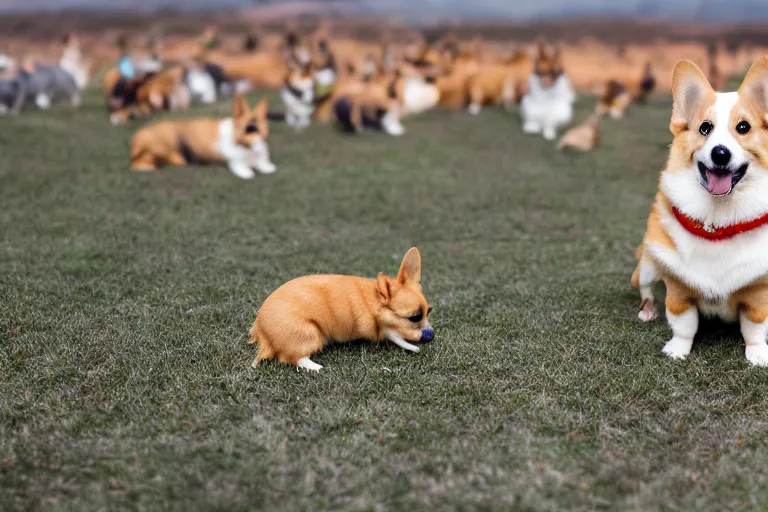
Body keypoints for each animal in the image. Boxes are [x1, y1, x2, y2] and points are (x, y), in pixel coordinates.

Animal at [130, 95, 278, 179]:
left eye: (264, 130)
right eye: (249, 129)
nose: (260, 148)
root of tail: (138, 135)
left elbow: (264, 164)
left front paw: (269, 168)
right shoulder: (235, 159)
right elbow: (240, 166)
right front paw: (247, 174)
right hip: (160, 148)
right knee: (136, 163)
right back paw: (147, 167)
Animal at [250, 246, 436, 370]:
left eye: (429, 311)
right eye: (414, 317)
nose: (432, 335)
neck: (376, 299)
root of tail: (261, 332)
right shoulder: (385, 329)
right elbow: (397, 337)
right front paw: (412, 347)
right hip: (310, 334)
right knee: (293, 358)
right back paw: (316, 367)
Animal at [632, 59, 768, 364]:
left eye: (744, 127)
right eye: (705, 128)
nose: (720, 153)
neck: (719, 218)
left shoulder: (758, 293)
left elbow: (754, 327)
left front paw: (757, 355)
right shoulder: (679, 291)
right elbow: (684, 324)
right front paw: (678, 350)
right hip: (648, 264)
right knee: (645, 288)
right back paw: (648, 310)